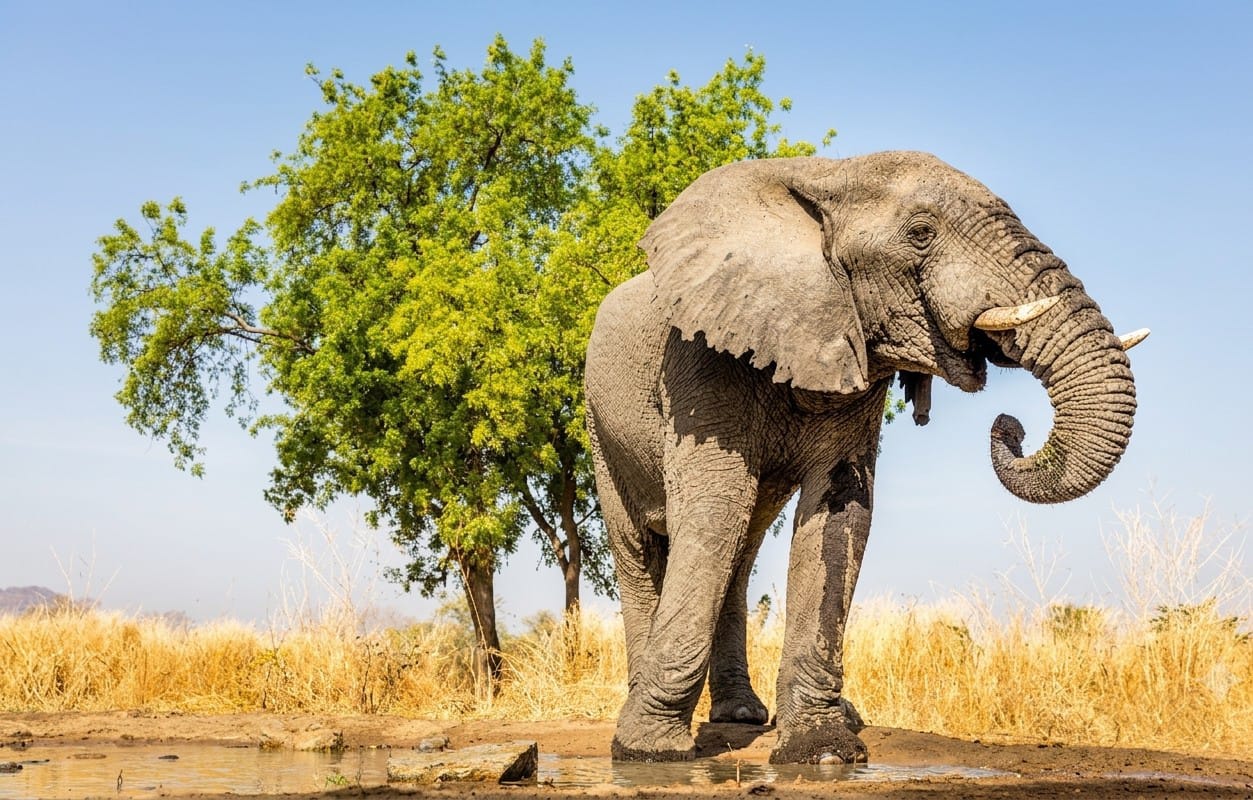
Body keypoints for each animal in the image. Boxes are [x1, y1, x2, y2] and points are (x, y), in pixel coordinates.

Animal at [584, 151, 1146, 764]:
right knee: (642, 543)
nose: (1009, 426)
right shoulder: (700, 356)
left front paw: (823, 750)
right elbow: (715, 508)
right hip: (598, 425)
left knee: (741, 550)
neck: (829, 174)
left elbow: (839, 509)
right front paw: (648, 751)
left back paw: (744, 716)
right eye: (921, 234)